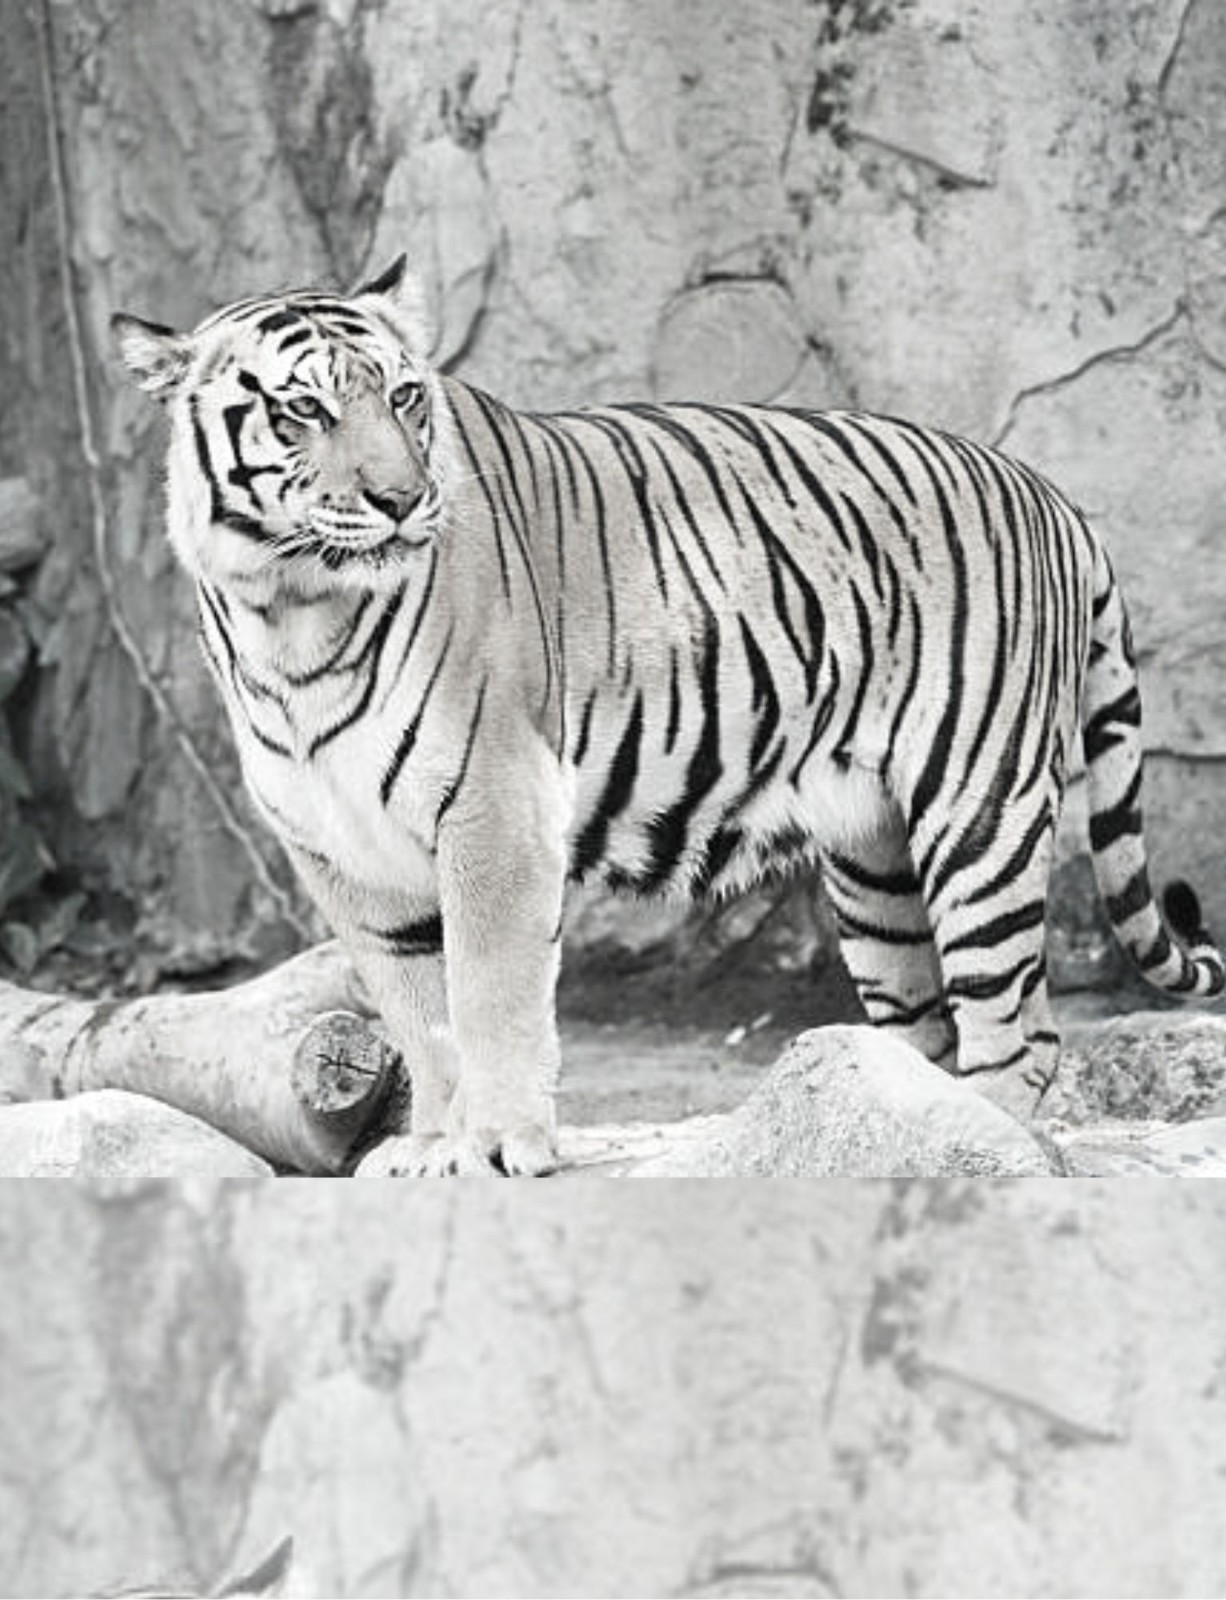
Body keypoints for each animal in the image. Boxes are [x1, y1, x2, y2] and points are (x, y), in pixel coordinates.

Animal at [112, 255, 1224, 1176]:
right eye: (301, 410)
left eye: (403, 396)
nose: (400, 498)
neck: (288, 611)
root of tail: (1049, 494)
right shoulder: (342, 849)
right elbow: (419, 1017)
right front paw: (429, 1146)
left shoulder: (493, 810)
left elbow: (490, 994)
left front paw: (498, 1144)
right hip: (874, 862)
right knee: (920, 1030)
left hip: (978, 815)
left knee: (1018, 1036)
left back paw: (992, 1151)